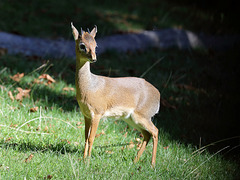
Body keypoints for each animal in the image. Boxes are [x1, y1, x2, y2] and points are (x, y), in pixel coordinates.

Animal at [71, 22, 161, 167]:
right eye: (82, 45)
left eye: (96, 45)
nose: (94, 58)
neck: (88, 87)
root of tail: (158, 94)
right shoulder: (86, 115)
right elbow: (85, 136)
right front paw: (83, 159)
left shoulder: (97, 113)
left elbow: (91, 138)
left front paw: (88, 161)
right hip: (131, 118)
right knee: (147, 134)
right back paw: (135, 161)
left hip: (142, 116)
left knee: (155, 131)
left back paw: (152, 164)